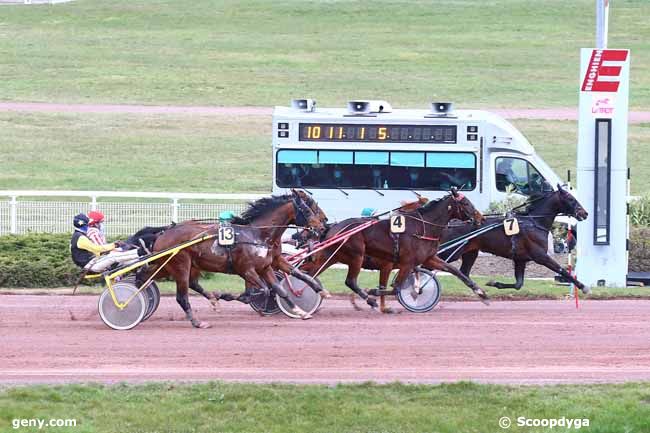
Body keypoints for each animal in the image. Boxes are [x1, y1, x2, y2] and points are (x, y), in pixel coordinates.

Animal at [140, 191, 324, 326]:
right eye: (308, 210)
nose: (322, 227)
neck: (258, 234)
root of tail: (162, 233)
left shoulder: (267, 265)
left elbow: (281, 288)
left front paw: (302, 309)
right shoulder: (247, 270)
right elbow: (262, 291)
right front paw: (225, 295)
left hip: (173, 266)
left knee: (148, 277)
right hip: (181, 265)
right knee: (181, 296)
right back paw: (197, 322)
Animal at [298, 189, 486, 308]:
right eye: (466, 203)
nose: (481, 218)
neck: (423, 227)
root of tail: (332, 228)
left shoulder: (429, 258)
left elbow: (456, 271)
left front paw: (481, 292)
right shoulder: (407, 263)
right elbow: (396, 288)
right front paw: (375, 292)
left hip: (330, 256)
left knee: (309, 273)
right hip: (356, 255)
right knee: (350, 281)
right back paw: (369, 299)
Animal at [436, 184, 588, 292]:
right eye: (571, 199)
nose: (585, 213)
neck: (534, 222)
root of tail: (450, 223)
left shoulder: (520, 259)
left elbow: (518, 284)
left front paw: (494, 283)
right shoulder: (540, 256)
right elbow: (562, 270)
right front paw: (583, 286)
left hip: (470, 252)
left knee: (463, 273)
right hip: (451, 251)